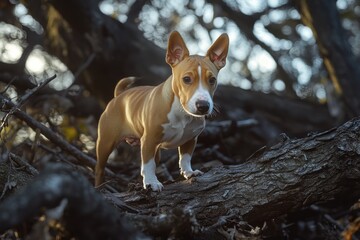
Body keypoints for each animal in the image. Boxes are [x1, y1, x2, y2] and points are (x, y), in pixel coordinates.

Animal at [95, 30, 229, 191]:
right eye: (186, 79)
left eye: (212, 80)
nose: (203, 106)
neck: (182, 112)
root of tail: (119, 96)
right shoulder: (149, 140)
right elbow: (148, 164)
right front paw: (151, 182)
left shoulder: (191, 139)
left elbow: (185, 158)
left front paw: (189, 172)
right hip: (105, 142)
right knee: (100, 168)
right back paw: (99, 186)